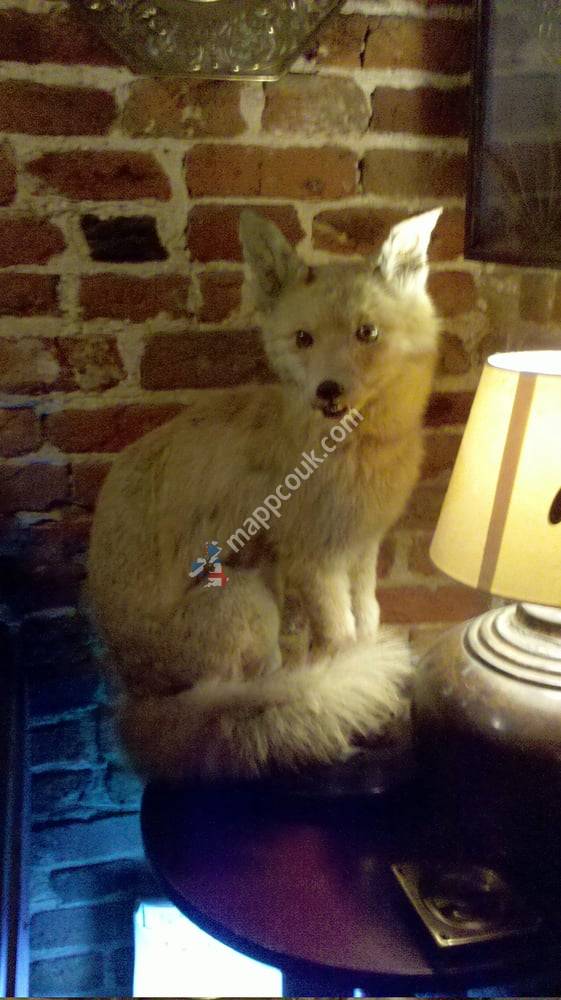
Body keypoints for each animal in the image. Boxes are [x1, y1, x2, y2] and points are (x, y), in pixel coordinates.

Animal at [87, 207, 442, 780]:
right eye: (303, 338)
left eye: (367, 333)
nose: (328, 391)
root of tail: (137, 694)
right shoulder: (314, 559)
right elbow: (344, 639)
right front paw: (356, 692)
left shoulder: (360, 547)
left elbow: (368, 620)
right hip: (249, 599)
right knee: (253, 694)